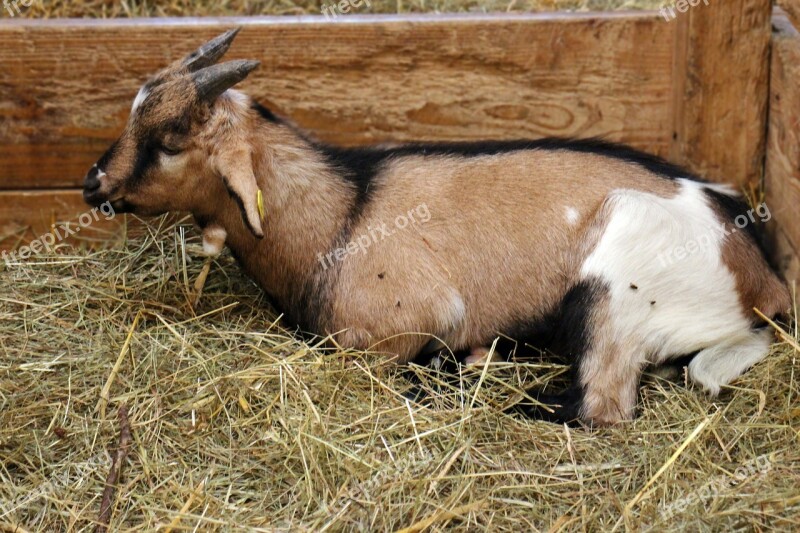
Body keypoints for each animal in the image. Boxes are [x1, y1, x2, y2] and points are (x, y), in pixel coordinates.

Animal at [83, 29, 788, 426]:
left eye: (171, 140)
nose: (93, 185)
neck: (345, 212)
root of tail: (764, 281)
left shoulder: (408, 319)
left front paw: (453, 369)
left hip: (619, 283)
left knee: (602, 407)